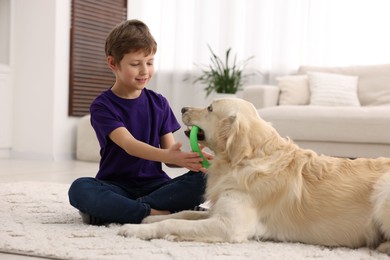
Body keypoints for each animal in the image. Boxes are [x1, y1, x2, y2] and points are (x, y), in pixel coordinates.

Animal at [119, 98, 390, 255]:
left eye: (210, 108)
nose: (183, 108)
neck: (243, 159)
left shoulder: (230, 226)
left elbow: (173, 223)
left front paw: (132, 229)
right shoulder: (220, 209)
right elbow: (184, 214)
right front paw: (147, 219)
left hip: (383, 192)